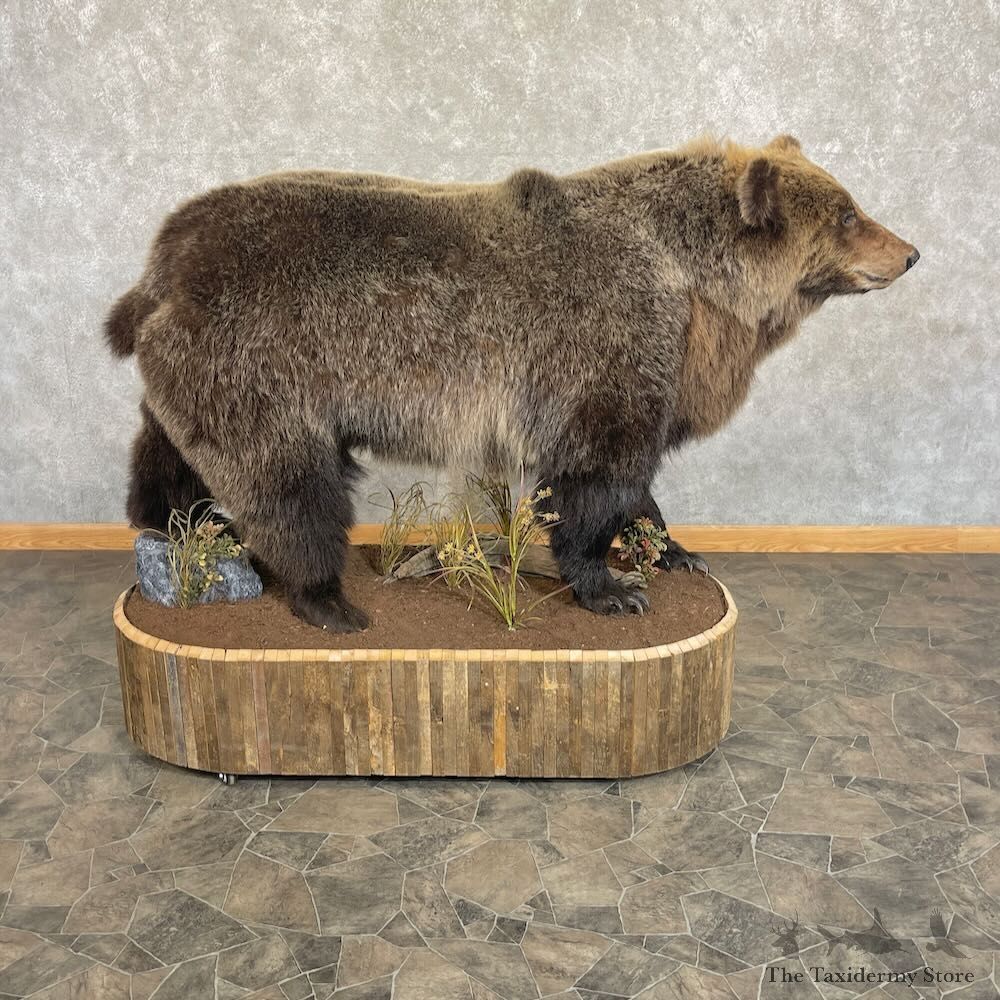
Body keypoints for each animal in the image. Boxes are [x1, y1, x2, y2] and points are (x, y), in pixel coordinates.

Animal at [106, 134, 918, 631]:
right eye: (848, 213)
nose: (910, 251)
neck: (697, 294)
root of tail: (162, 261)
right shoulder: (604, 345)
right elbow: (597, 470)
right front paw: (612, 586)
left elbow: (638, 475)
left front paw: (675, 548)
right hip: (263, 363)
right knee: (286, 480)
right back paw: (326, 598)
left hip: (193, 371)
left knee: (165, 449)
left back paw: (172, 523)